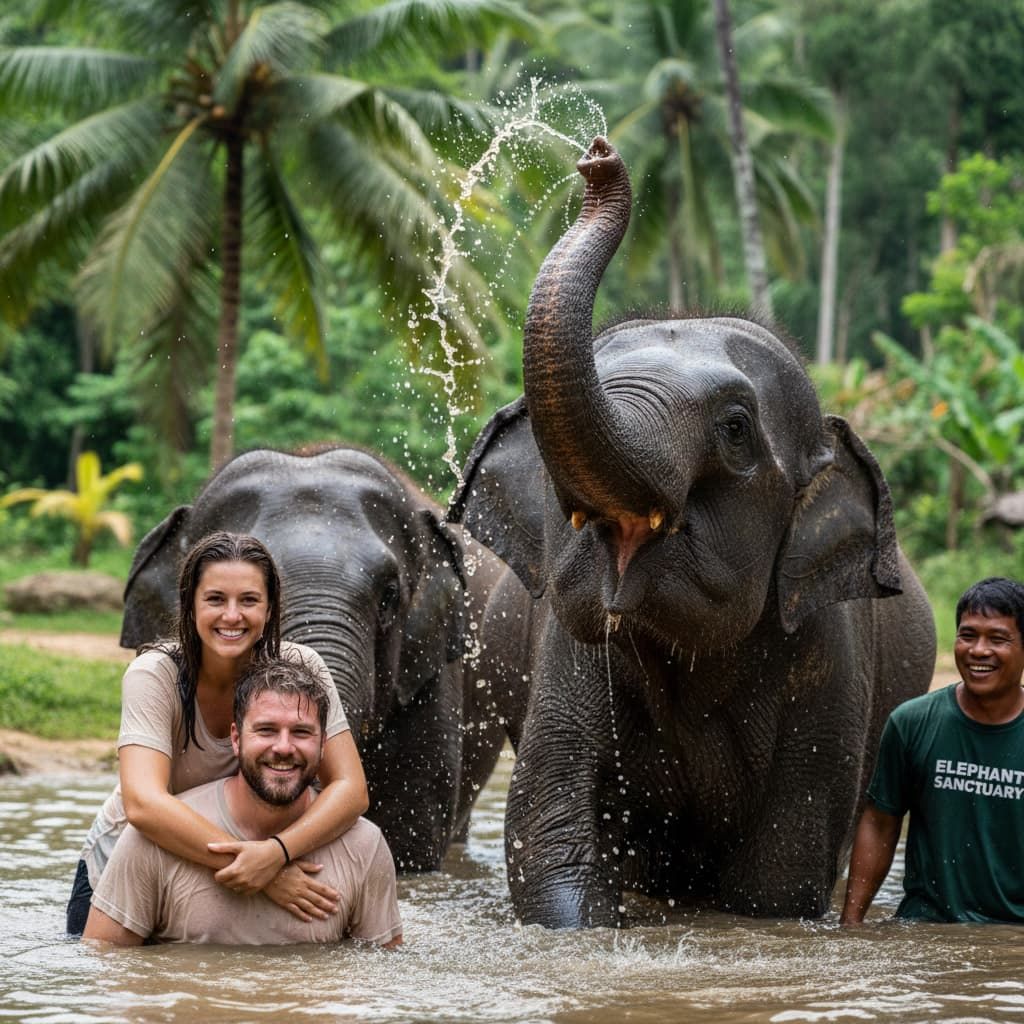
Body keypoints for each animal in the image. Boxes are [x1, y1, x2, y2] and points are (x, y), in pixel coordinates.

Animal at [448, 137, 936, 927]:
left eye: (735, 429)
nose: (597, 156)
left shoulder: (830, 659)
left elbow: (778, 880)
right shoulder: (565, 649)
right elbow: (549, 840)